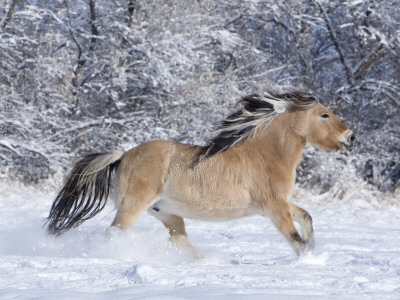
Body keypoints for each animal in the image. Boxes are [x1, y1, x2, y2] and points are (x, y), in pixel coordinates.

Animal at [45, 90, 354, 256]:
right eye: (325, 114)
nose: (350, 136)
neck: (265, 155)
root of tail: (123, 155)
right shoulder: (273, 206)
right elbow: (294, 238)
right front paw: (309, 261)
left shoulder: (279, 201)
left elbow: (306, 216)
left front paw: (314, 247)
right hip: (134, 206)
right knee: (114, 234)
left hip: (168, 213)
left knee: (179, 241)